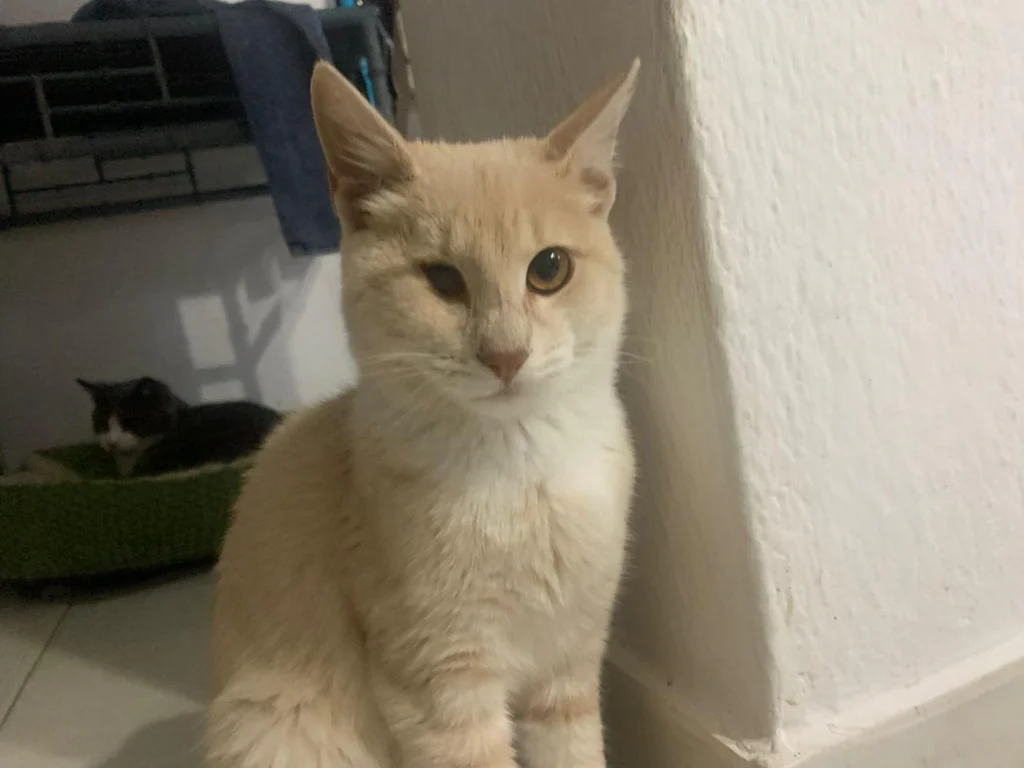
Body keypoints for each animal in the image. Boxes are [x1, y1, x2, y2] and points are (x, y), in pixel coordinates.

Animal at [208, 58, 639, 768]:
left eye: (549, 268)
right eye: (442, 279)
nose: (506, 355)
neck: (521, 473)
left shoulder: (568, 668)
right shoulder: (441, 687)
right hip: (276, 729)